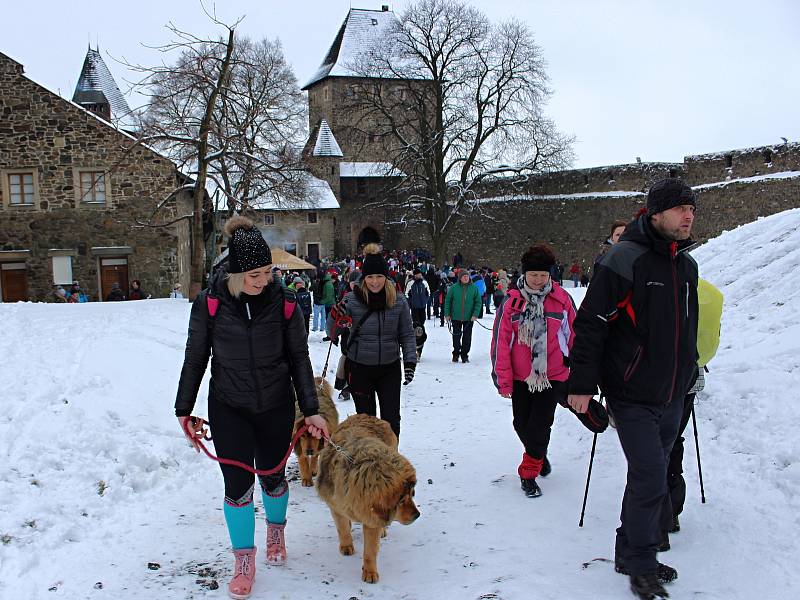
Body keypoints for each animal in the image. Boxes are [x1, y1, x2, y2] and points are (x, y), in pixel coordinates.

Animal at [316, 414, 422, 584]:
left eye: (412, 494)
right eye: (400, 501)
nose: (417, 515)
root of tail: (369, 416)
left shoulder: (371, 518)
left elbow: (370, 551)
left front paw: (370, 572)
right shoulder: (335, 505)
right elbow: (342, 528)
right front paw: (346, 545)